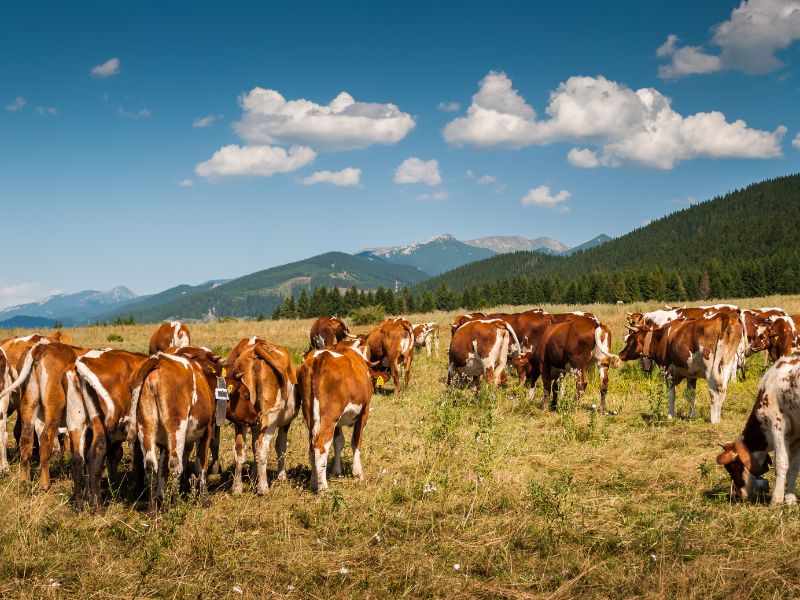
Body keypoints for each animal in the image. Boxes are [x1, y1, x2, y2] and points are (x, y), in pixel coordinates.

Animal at [227, 338, 298, 495]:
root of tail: (255, 349)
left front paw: (254, 476)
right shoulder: (285, 422)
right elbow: (281, 446)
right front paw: (281, 477)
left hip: (241, 415)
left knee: (240, 448)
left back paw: (237, 488)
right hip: (270, 417)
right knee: (262, 446)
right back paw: (263, 488)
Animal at [297, 347, 373, 492]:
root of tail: (319, 357)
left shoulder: (337, 423)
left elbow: (339, 442)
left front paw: (337, 470)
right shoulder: (364, 412)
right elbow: (356, 441)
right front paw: (358, 473)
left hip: (310, 415)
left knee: (312, 448)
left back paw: (314, 483)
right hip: (329, 417)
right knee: (321, 447)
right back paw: (323, 488)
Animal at [715, 356, 800, 504]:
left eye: (731, 468)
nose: (735, 495)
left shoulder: (778, 424)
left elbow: (781, 462)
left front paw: (776, 500)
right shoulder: (796, 435)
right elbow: (794, 467)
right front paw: (790, 500)